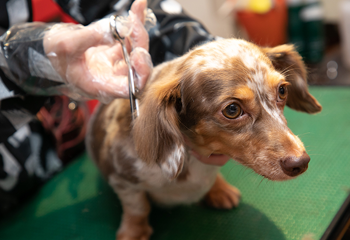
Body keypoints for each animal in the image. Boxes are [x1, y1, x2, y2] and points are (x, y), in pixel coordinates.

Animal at [86, 38, 322, 240]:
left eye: (282, 90)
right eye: (232, 109)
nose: (300, 163)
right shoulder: (121, 179)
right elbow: (138, 207)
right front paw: (134, 231)